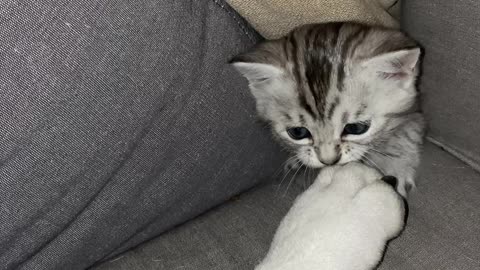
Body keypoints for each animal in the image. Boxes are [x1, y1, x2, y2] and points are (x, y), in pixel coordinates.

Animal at [232, 22, 424, 196]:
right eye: (298, 132)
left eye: (356, 128)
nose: (329, 161)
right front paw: (297, 159)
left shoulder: (416, 111)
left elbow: (404, 132)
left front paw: (394, 167)